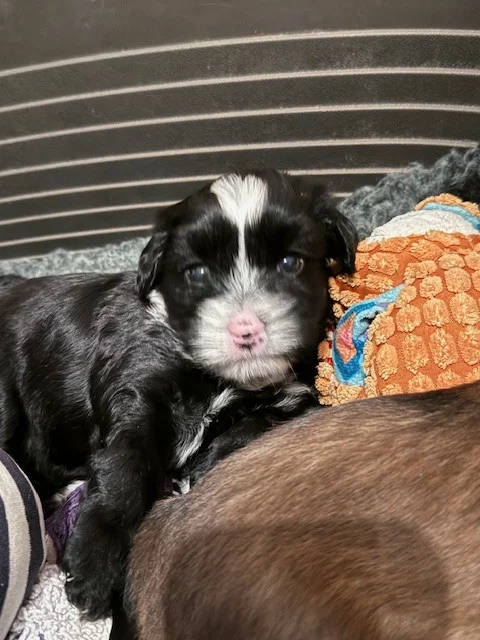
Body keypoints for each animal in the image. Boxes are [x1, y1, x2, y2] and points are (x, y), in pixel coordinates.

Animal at [0, 169, 357, 619]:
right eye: (197, 273)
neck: (224, 379)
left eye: (290, 263)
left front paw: (204, 471)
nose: (245, 329)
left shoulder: (290, 398)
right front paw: (93, 571)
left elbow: (251, 428)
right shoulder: (138, 390)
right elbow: (124, 474)